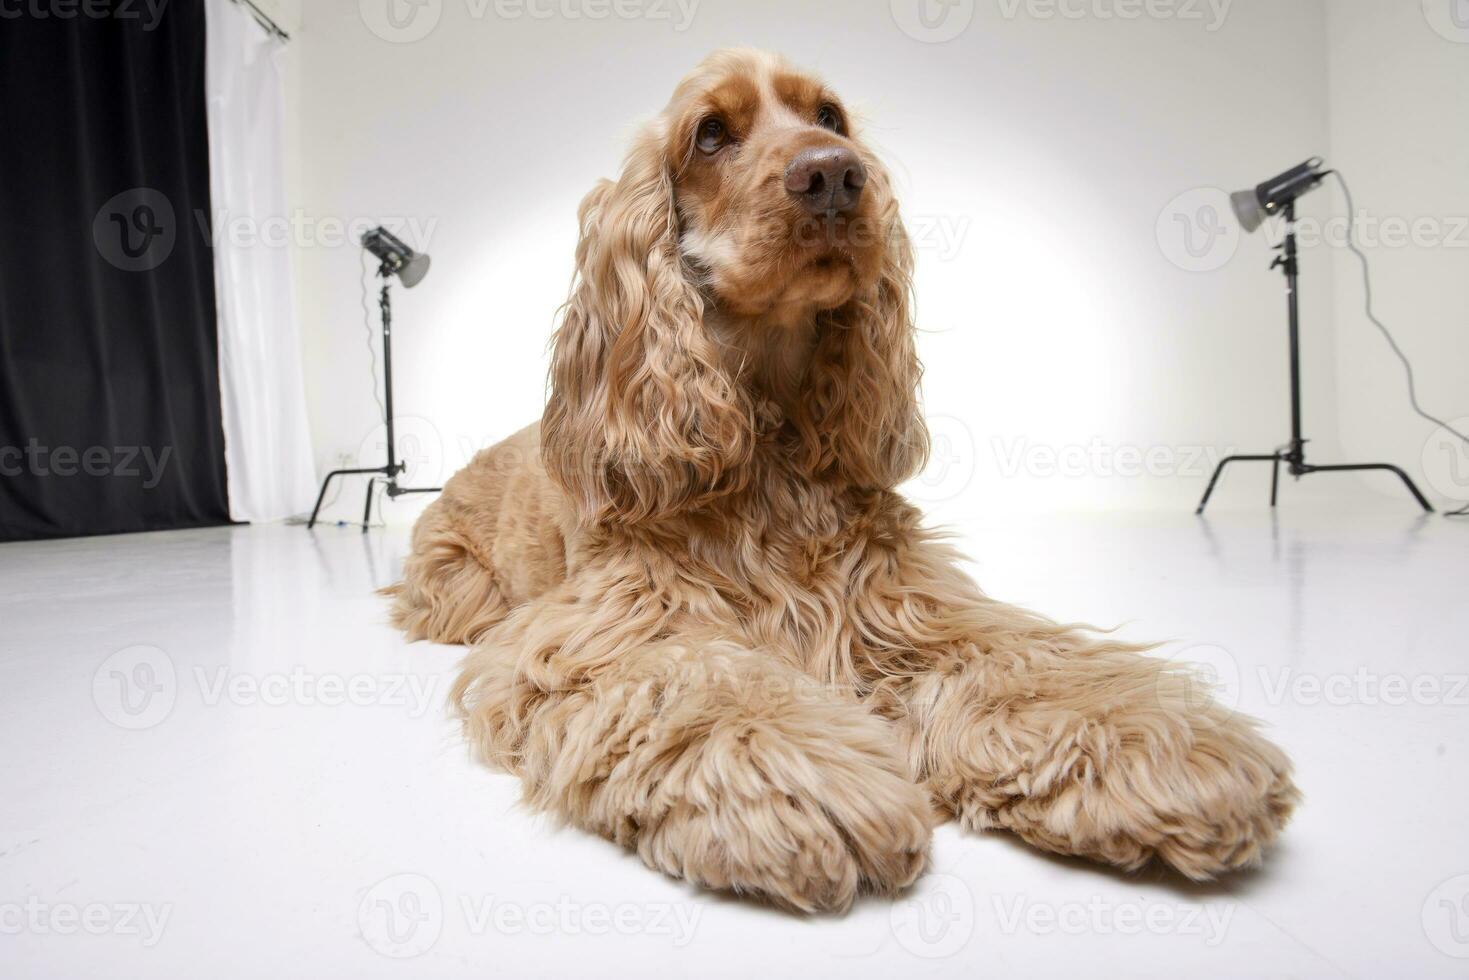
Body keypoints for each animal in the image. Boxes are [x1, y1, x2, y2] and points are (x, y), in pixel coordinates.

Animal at [387, 49, 1298, 916]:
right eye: (709, 134)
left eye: (829, 117)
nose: (833, 174)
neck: (771, 439)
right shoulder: (615, 625)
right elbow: (708, 683)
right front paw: (805, 785)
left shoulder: (902, 603)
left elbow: (1022, 661)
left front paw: (1157, 746)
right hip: (455, 582)